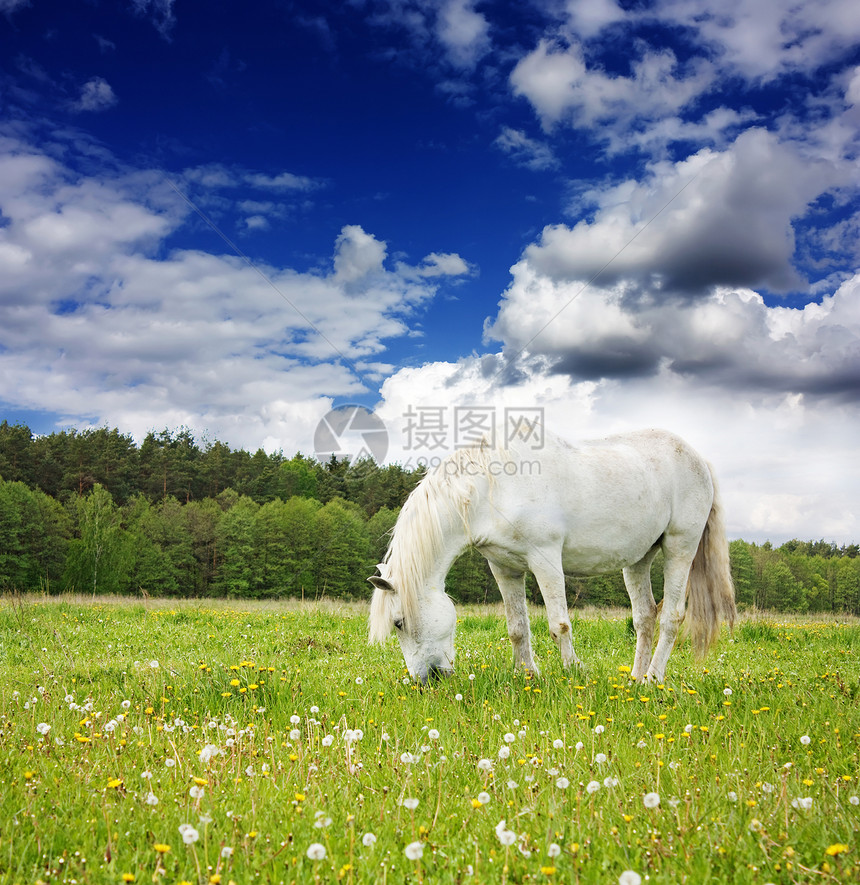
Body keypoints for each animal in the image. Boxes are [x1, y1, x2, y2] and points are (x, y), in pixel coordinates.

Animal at [366, 428, 736, 684]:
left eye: (398, 622)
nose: (426, 680)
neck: (493, 487)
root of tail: (699, 460)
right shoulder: (503, 567)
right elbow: (517, 626)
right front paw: (527, 675)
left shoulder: (545, 559)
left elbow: (559, 623)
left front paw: (574, 672)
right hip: (638, 559)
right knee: (644, 617)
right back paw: (634, 679)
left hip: (680, 548)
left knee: (671, 617)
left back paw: (653, 678)